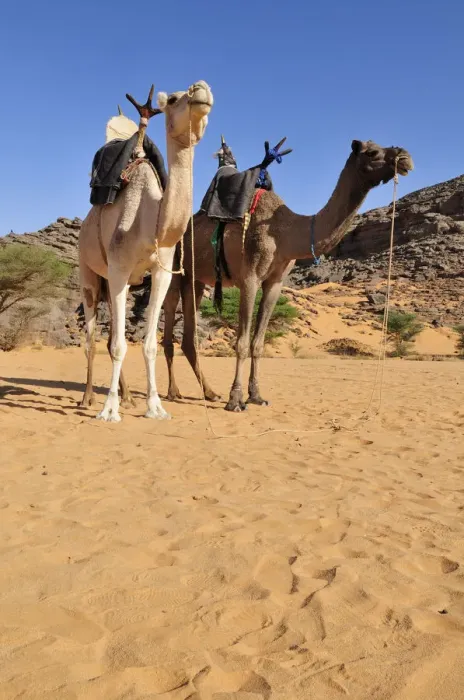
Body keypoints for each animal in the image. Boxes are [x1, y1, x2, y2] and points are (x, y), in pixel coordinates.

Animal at [78, 80, 213, 421]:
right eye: (175, 99)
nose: (201, 88)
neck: (149, 223)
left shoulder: (161, 272)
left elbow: (148, 343)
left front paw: (155, 406)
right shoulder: (118, 268)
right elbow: (116, 345)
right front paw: (108, 411)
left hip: (119, 281)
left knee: (110, 333)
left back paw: (126, 397)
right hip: (88, 274)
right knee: (91, 337)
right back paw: (88, 398)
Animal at [162, 139, 414, 411]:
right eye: (373, 152)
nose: (405, 158)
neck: (285, 233)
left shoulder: (275, 283)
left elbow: (258, 343)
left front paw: (256, 395)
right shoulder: (249, 278)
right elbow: (241, 343)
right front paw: (236, 399)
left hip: (197, 279)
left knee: (188, 338)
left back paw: (209, 393)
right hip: (174, 268)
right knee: (168, 318)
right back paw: (173, 392)